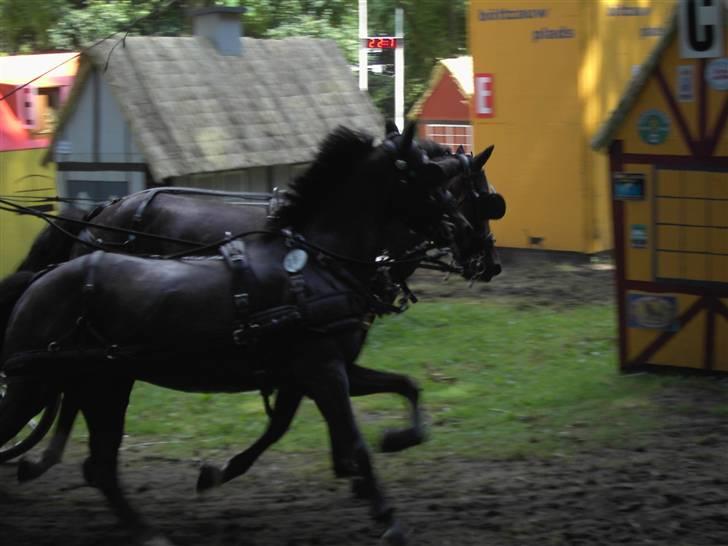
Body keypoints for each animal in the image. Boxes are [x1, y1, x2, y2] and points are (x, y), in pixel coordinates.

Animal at [0, 126, 489, 545]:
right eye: (430, 178)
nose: (470, 241)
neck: (321, 262)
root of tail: (44, 278)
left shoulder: (326, 368)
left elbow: (404, 387)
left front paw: (394, 442)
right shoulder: (323, 369)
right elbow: (347, 440)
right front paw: (386, 516)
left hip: (103, 382)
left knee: (98, 463)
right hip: (38, 382)